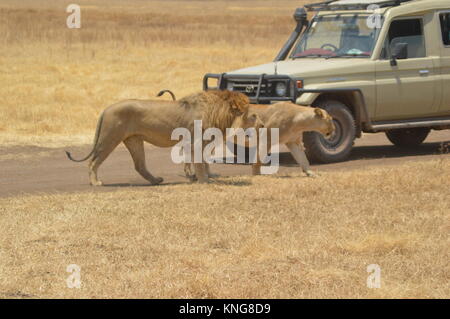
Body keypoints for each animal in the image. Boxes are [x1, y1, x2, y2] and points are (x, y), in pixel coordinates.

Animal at [67, 90, 264, 186]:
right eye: (253, 115)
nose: (263, 124)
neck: (221, 112)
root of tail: (106, 108)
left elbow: (203, 162)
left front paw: (200, 177)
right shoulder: (196, 142)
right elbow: (200, 163)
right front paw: (204, 181)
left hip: (134, 140)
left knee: (139, 165)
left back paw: (156, 181)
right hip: (110, 138)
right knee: (93, 161)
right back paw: (95, 182)